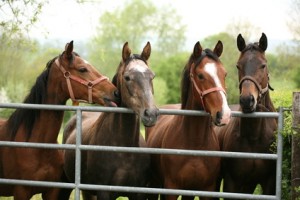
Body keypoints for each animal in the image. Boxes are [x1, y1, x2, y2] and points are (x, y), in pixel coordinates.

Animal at [63, 41, 159, 199]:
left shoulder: (138, 192)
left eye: (152, 76)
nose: (151, 114)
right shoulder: (104, 192)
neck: (124, 150)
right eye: (127, 77)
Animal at [146, 40, 231, 200]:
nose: (224, 114)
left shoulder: (206, 190)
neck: (195, 143)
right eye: (200, 75)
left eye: (225, 74)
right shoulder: (171, 189)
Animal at [216, 32, 276, 198]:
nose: (247, 100)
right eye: (238, 66)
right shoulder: (231, 182)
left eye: (263, 65)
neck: (254, 137)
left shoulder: (269, 182)